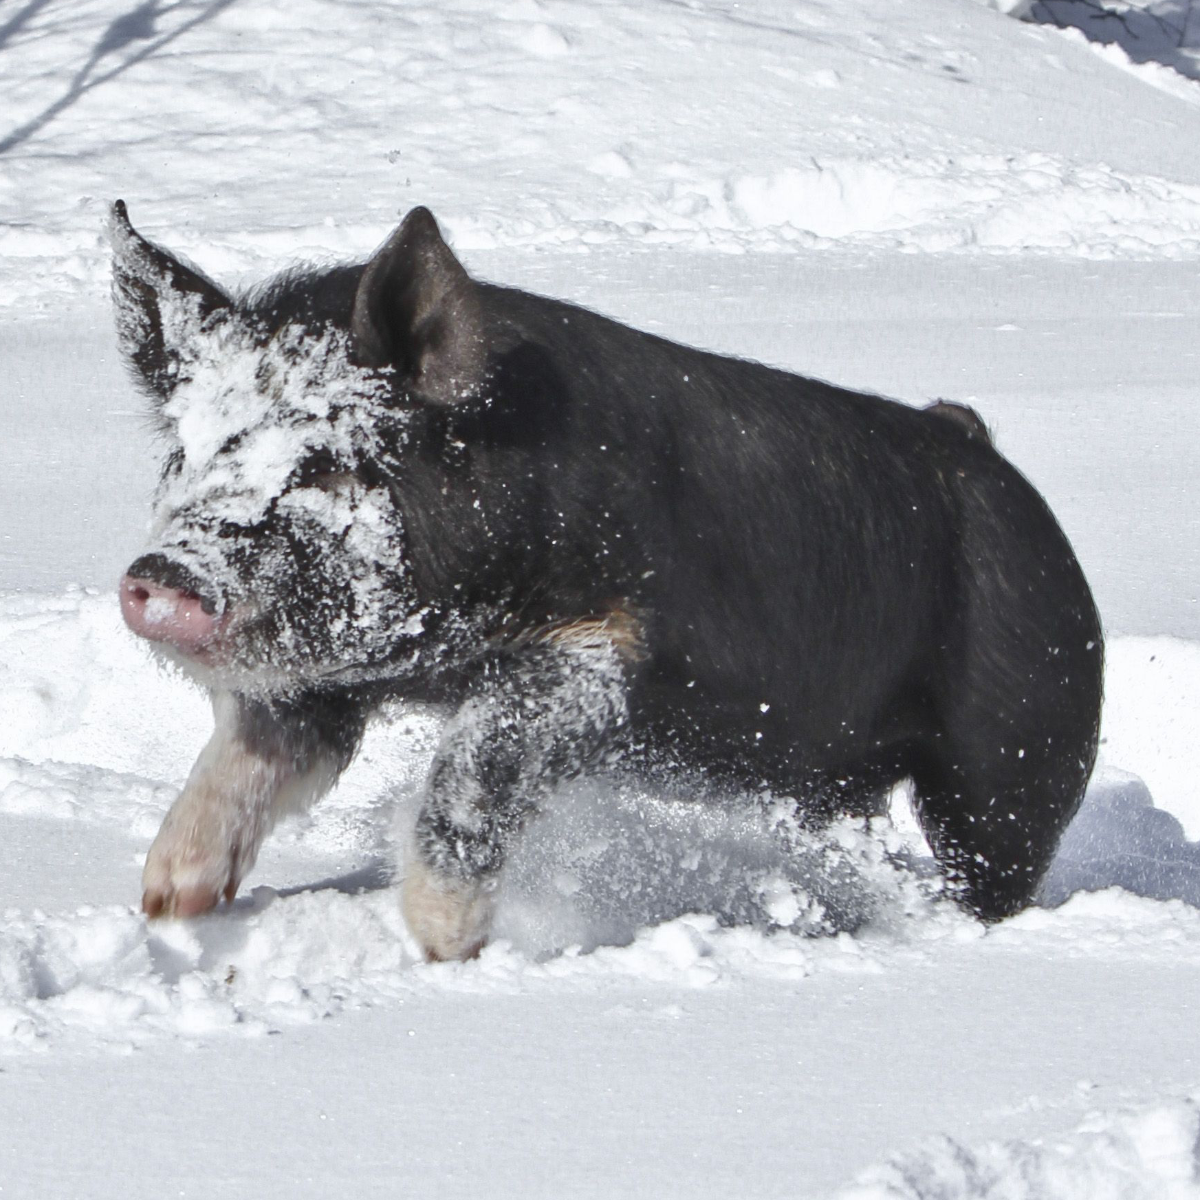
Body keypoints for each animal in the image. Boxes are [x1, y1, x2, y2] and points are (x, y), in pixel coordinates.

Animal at [110, 200, 1104, 960]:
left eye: (325, 465)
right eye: (187, 454)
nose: (160, 575)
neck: (437, 655)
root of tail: (982, 450)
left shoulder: (603, 648)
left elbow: (473, 760)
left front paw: (443, 946)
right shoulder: (316, 684)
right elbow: (244, 760)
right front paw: (166, 900)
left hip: (1022, 746)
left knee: (995, 864)